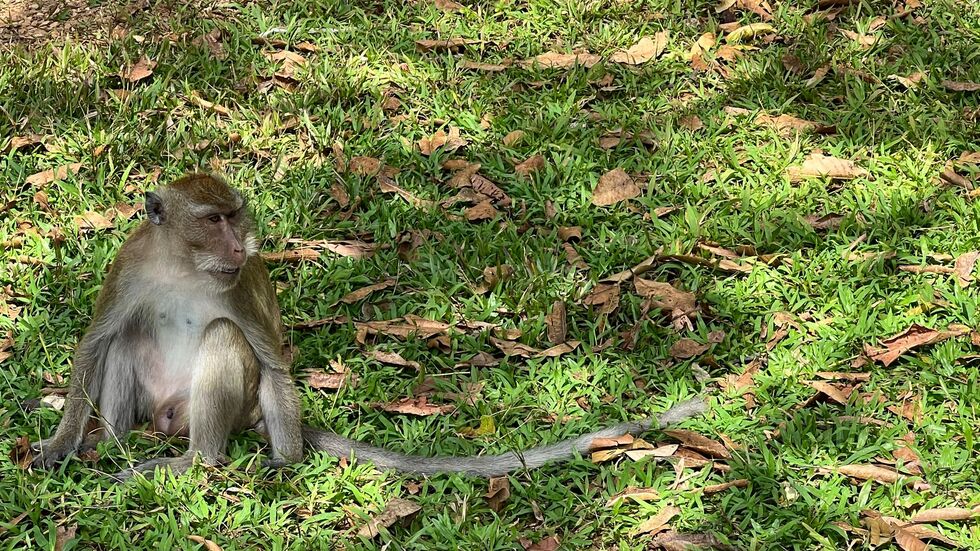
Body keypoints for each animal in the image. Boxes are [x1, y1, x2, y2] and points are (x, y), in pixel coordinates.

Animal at [31, 173, 706, 480]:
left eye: (233, 216)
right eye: (214, 219)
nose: (243, 242)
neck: (182, 265)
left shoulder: (238, 282)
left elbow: (270, 359)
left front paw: (286, 462)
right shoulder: (131, 265)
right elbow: (96, 341)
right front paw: (59, 445)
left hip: (228, 408)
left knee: (226, 344)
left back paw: (196, 460)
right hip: (159, 405)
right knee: (127, 338)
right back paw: (111, 443)